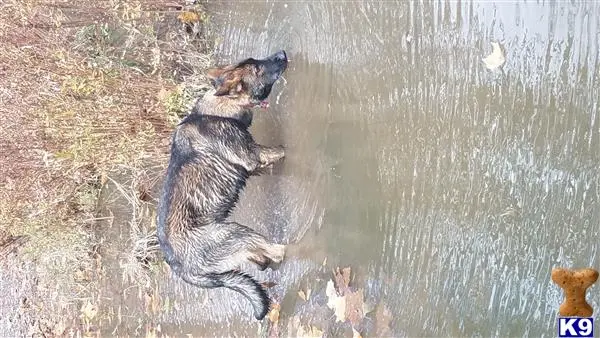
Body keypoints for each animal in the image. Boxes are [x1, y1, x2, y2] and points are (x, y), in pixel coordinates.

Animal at [158, 49, 290, 320]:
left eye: (256, 60)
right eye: (258, 69)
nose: (282, 53)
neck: (216, 110)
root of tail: (181, 269)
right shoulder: (253, 155)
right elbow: (279, 151)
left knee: (261, 261)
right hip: (234, 233)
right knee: (273, 252)